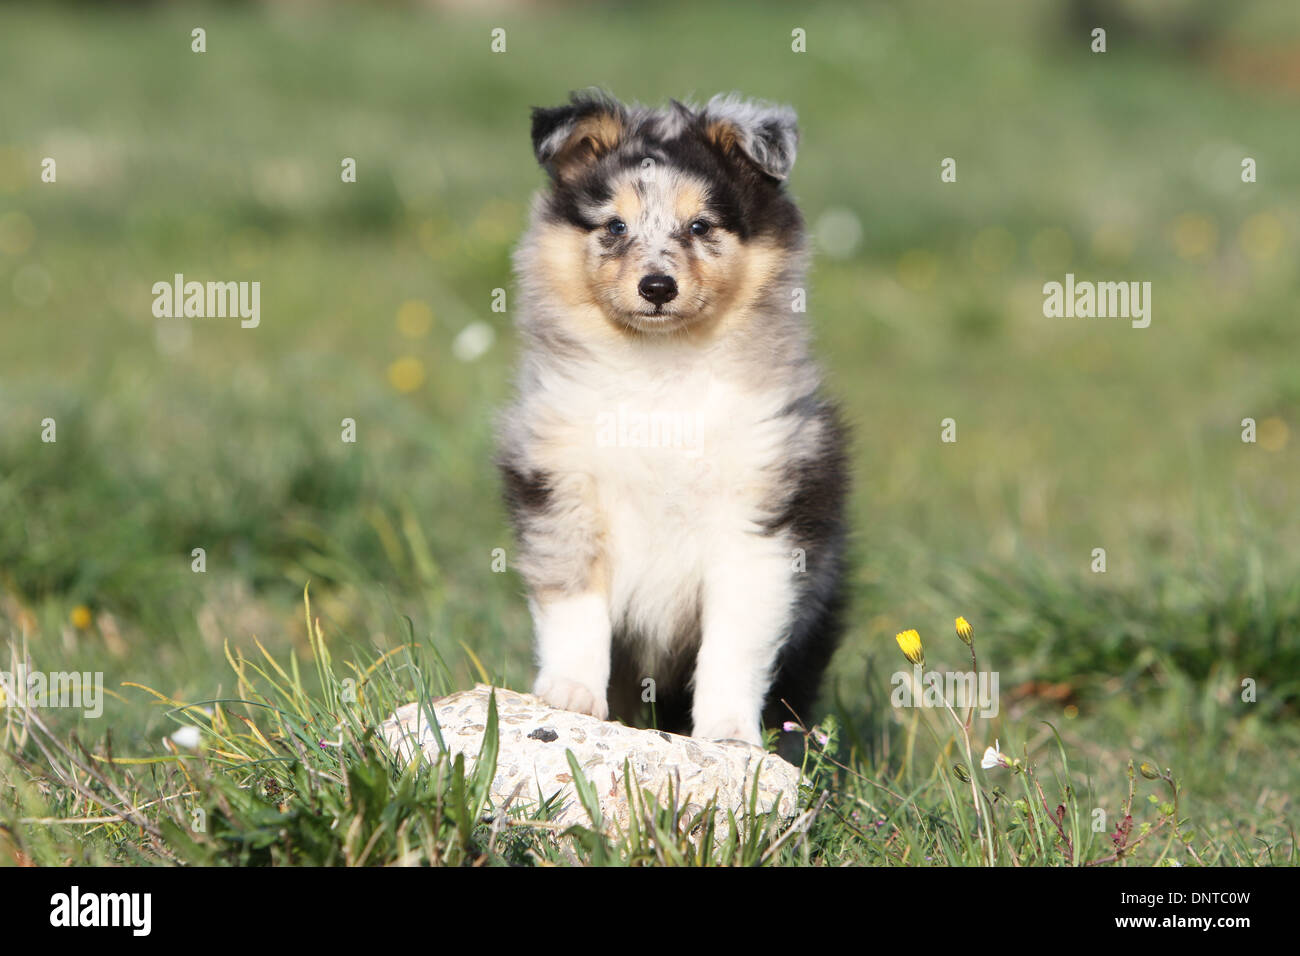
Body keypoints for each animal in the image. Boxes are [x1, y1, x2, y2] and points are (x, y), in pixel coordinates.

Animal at [496, 89, 852, 749]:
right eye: (615, 226)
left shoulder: (759, 518)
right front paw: (571, 694)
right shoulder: (562, 490)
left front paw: (728, 732)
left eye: (700, 226)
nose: (657, 287)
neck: (660, 373)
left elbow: (735, 641)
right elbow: (575, 607)